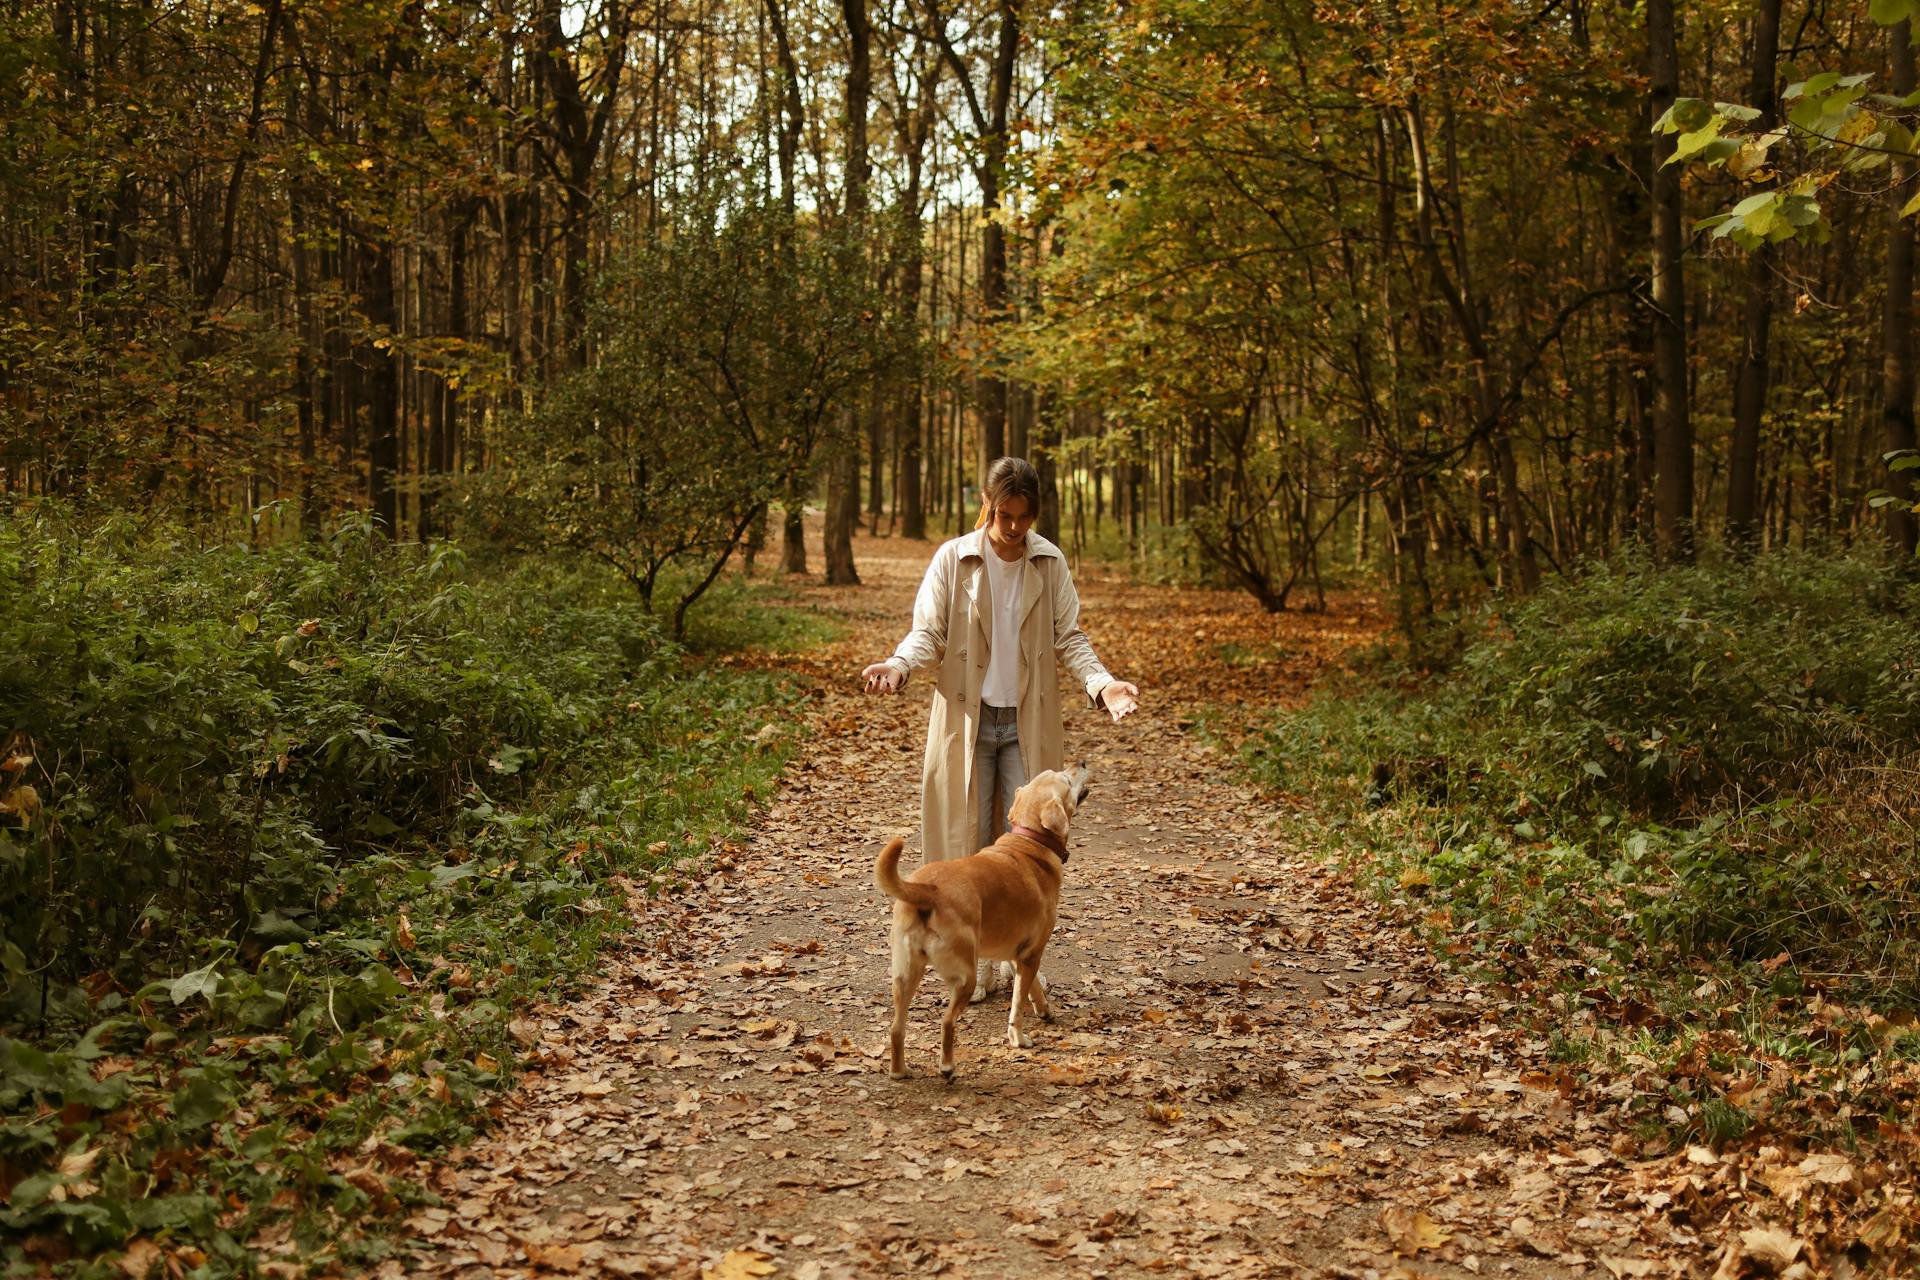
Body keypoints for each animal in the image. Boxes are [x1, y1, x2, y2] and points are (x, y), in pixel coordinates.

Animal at [875, 759, 1090, 1082]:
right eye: (1065, 778)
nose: (1082, 762)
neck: (1030, 841)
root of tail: (925, 889)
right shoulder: (1031, 953)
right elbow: (1017, 1005)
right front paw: (1019, 1038)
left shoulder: (1017, 955)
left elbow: (1032, 990)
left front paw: (1044, 1010)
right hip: (964, 977)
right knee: (947, 1022)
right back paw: (947, 1067)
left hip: (904, 976)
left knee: (896, 1028)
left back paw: (900, 1071)